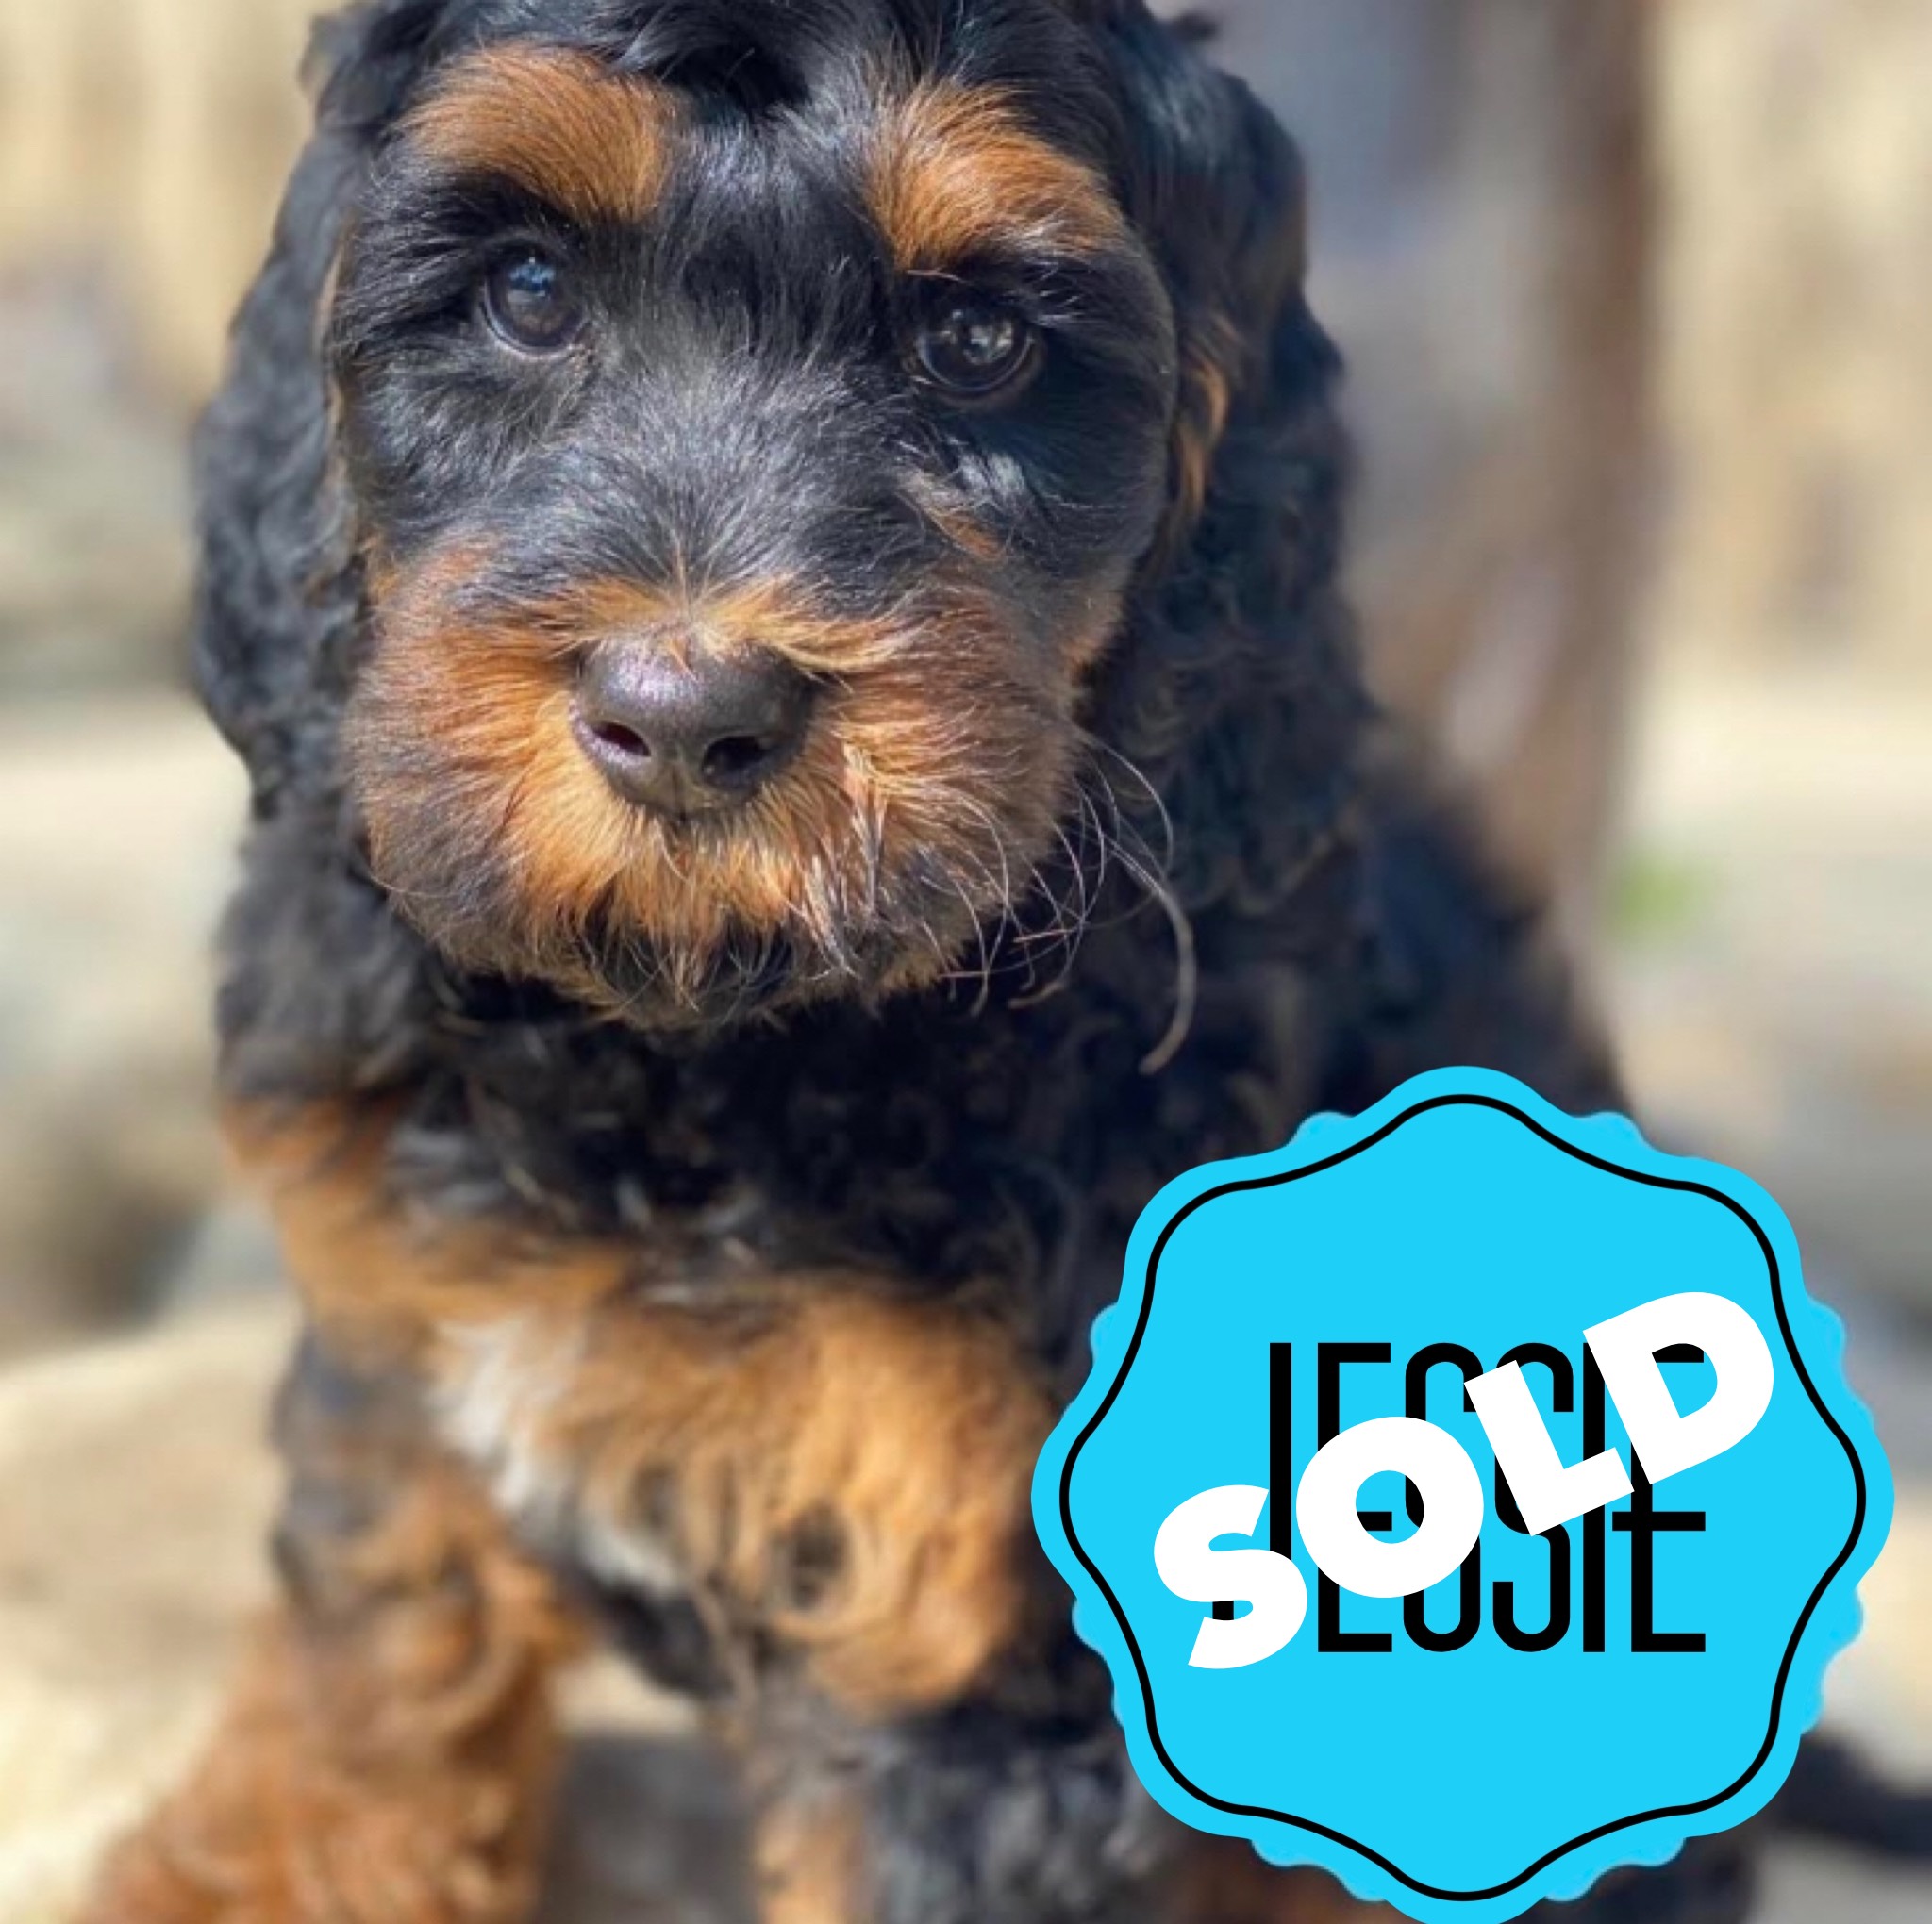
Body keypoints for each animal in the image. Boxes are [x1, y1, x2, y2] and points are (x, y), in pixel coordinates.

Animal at [83, 2, 1777, 1920]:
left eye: (975, 344)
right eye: (526, 290)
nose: (686, 720)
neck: (710, 1040)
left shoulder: (978, 1617)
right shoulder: (400, 1317)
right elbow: (380, 1636)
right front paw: (257, 1867)